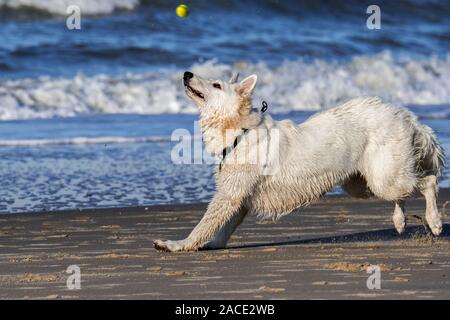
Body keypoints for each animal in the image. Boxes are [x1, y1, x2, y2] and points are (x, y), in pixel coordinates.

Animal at [154, 71, 442, 251]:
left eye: (216, 85)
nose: (187, 73)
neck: (239, 131)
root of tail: (406, 116)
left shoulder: (229, 194)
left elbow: (204, 225)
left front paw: (178, 245)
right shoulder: (239, 197)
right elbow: (224, 227)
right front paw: (214, 244)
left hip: (382, 177)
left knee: (426, 182)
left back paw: (435, 221)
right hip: (362, 183)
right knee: (404, 191)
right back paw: (400, 221)